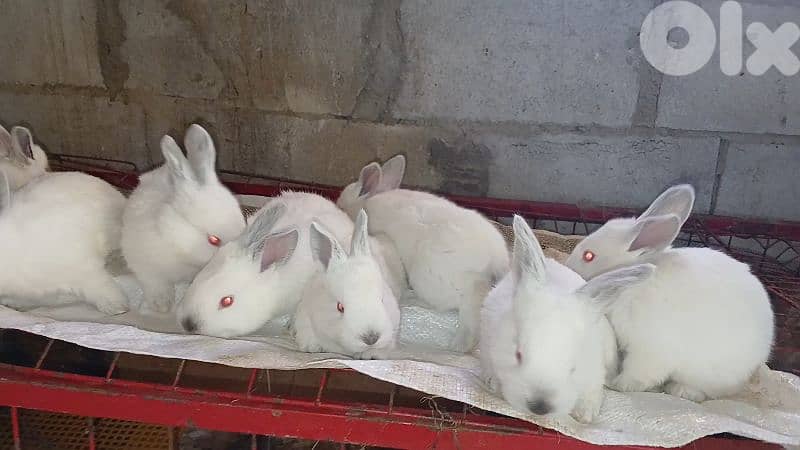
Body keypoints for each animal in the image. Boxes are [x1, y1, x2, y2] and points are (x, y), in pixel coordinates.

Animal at [565, 184, 775, 401]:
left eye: (589, 256)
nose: (568, 267)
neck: (632, 284)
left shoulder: (649, 348)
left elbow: (638, 374)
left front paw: (618, 384)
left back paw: (680, 390)